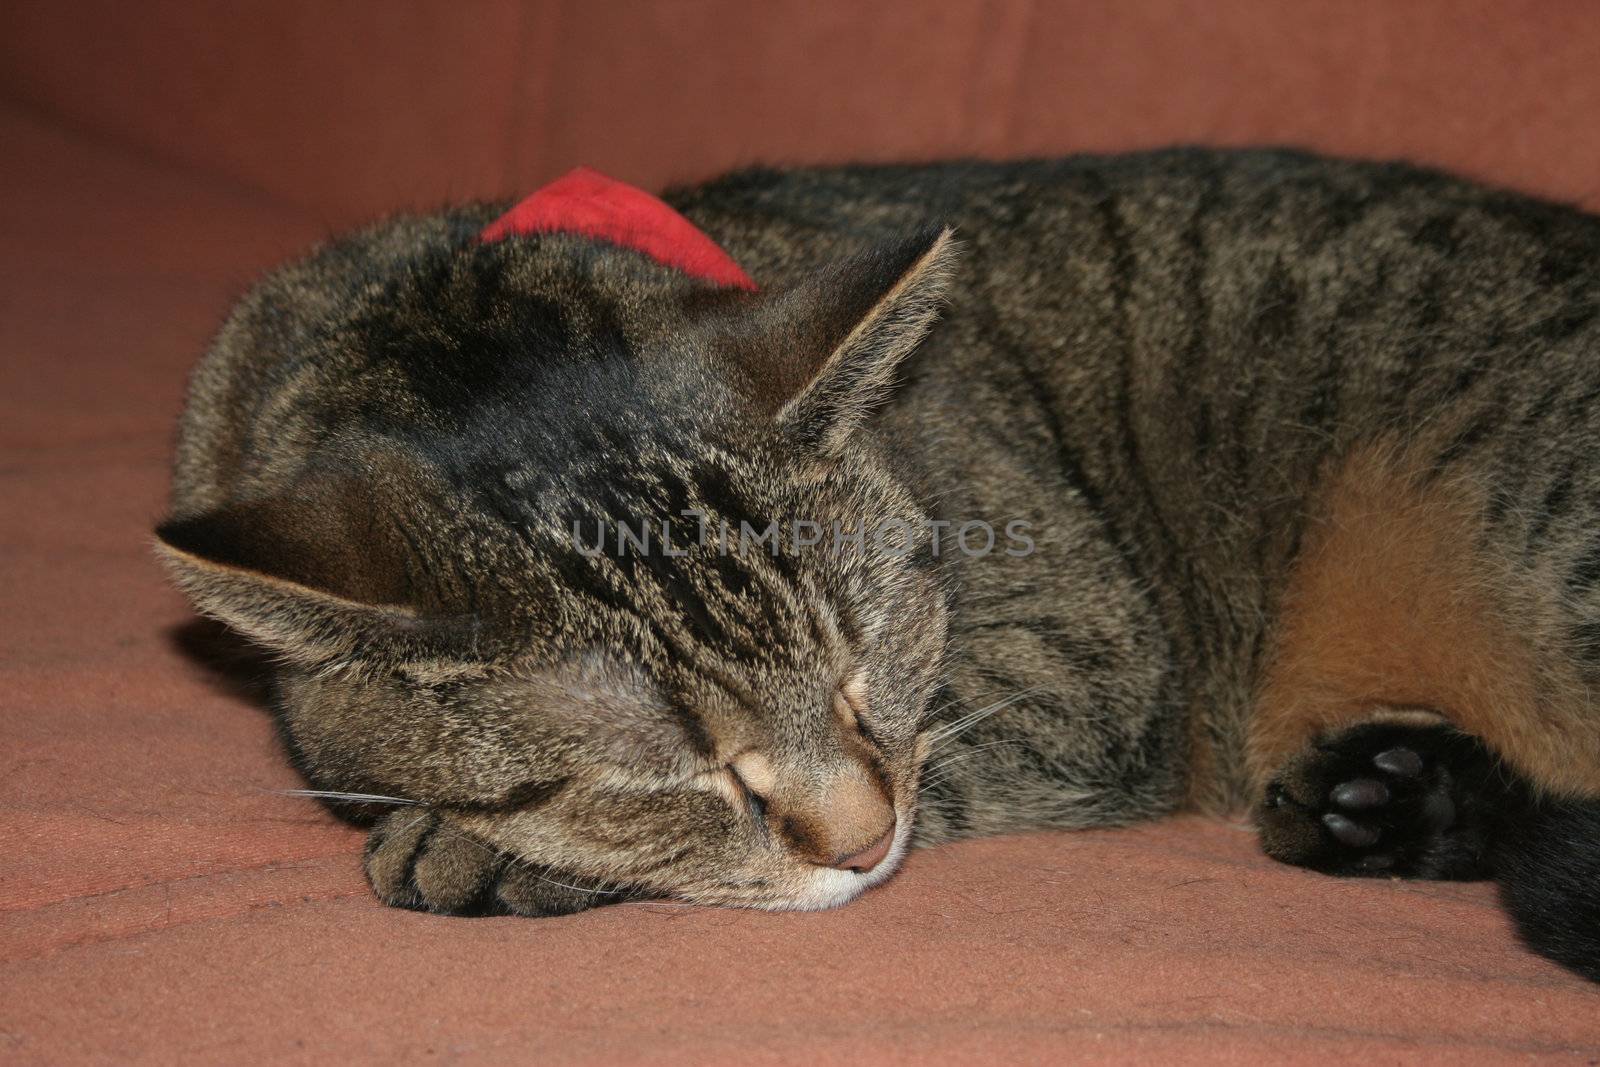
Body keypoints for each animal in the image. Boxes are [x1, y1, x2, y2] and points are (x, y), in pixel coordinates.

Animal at [156, 150, 1600, 985]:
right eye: (668, 768)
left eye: (862, 673)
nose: (863, 841)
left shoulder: (1081, 655)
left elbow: (949, 749)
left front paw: (476, 852)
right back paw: (1388, 797)